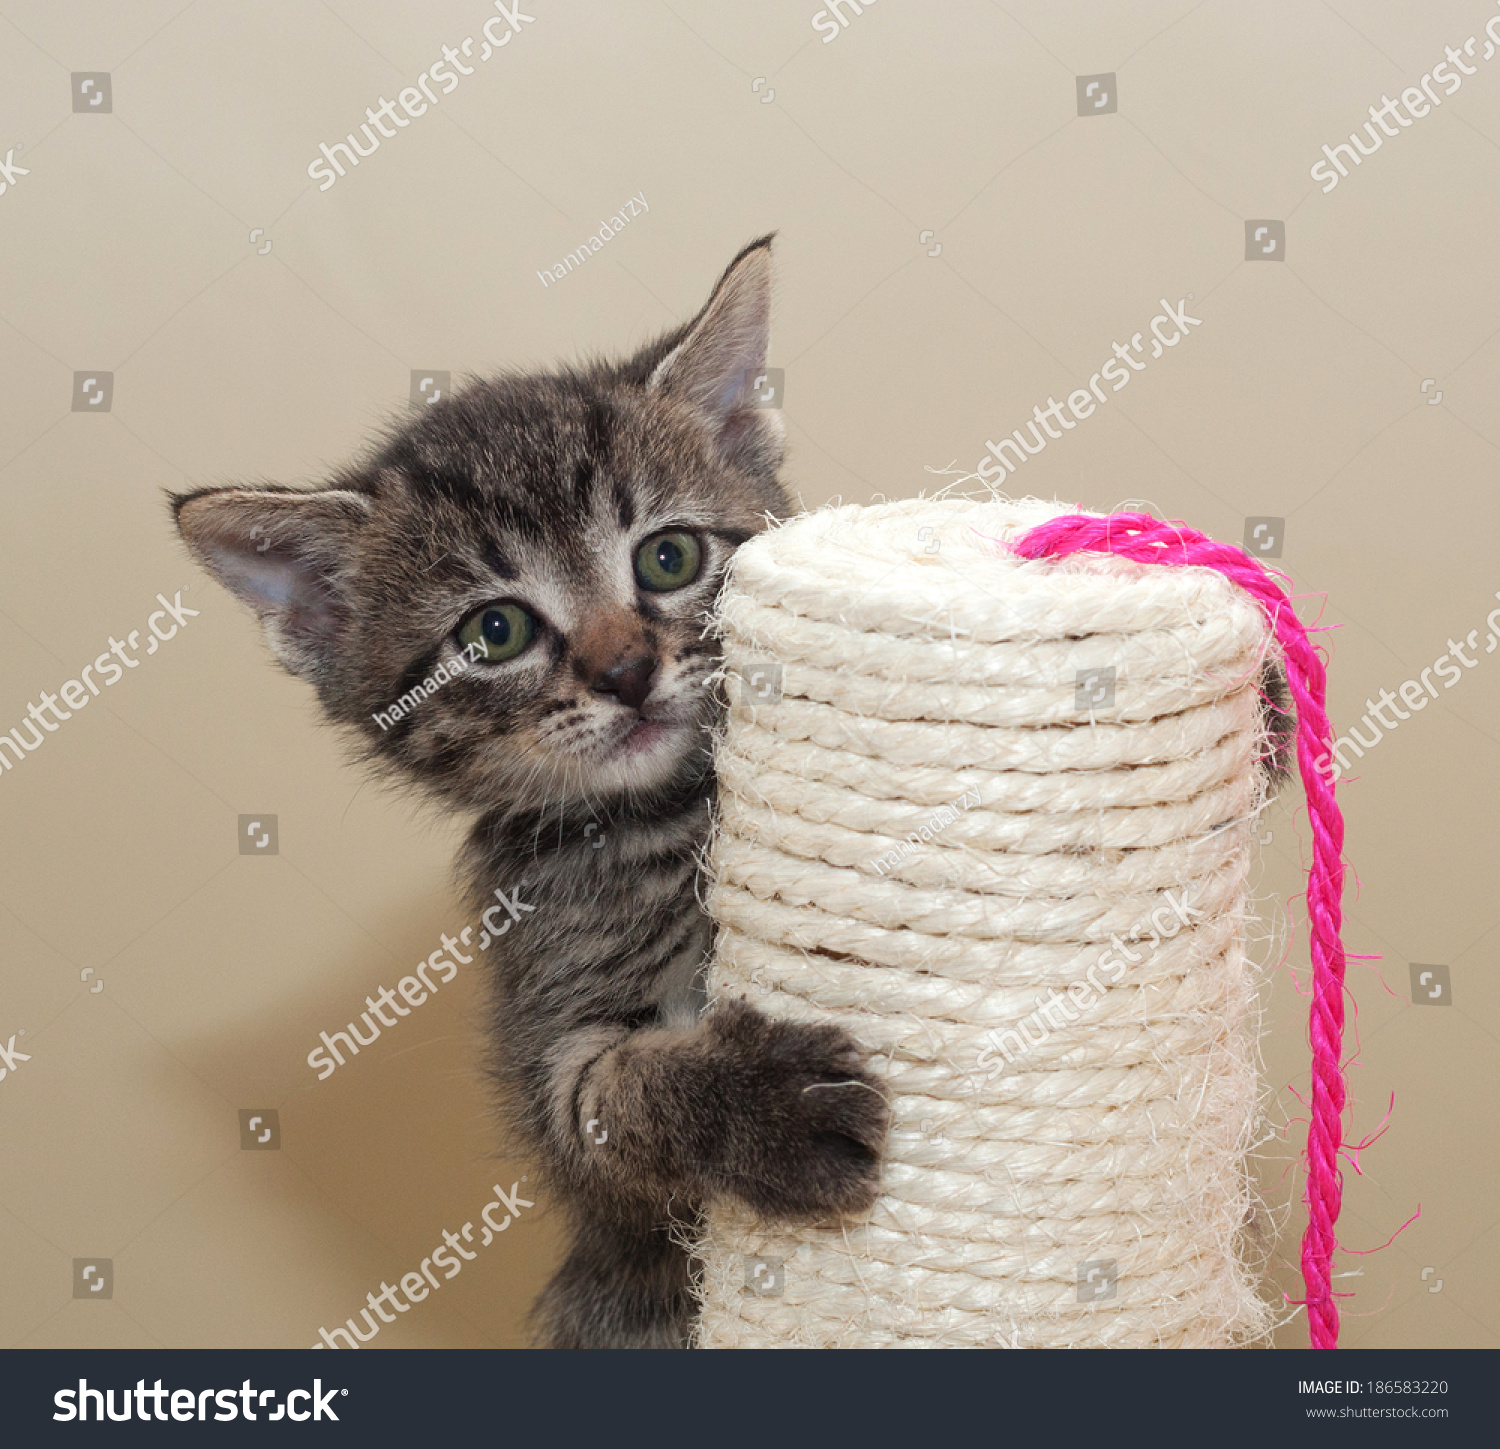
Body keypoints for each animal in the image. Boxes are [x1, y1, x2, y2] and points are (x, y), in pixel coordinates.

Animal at [175, 235, 888, 1350]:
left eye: (669, 556)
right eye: (495, 631)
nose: (625, 670)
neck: (662, 824)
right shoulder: (552, 1046)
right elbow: (609, 1104)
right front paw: (767, 1105)